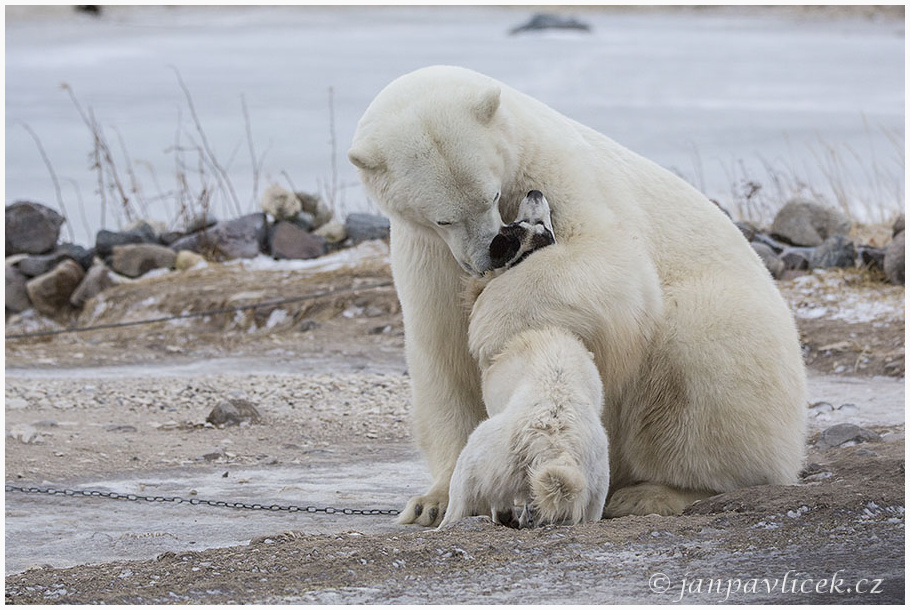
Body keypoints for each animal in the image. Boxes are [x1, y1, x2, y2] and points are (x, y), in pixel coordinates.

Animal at [348, 64, 804, 524]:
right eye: (442, 218)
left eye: (491, 195)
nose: (487, 253)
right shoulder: (428, 252)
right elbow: (444, 352)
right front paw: (431, 502)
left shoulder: (559, 171)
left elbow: (614, 263)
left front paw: (489, 322)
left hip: (735, 332)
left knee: (700, 361)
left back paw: (654, 493)